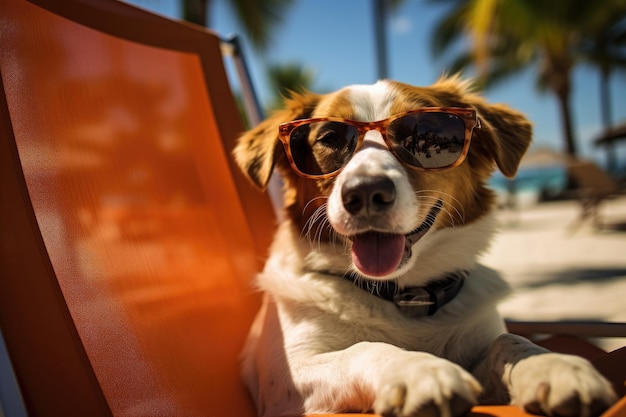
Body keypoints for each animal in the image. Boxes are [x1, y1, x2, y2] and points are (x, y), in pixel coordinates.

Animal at [233, 77, 616, 416]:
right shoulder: (289, 375)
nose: (365, 192)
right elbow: (366, 348)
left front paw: (553, 365)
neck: (403, 296)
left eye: (422, 133)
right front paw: (420, 370)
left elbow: (509, 341)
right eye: (330, 137)